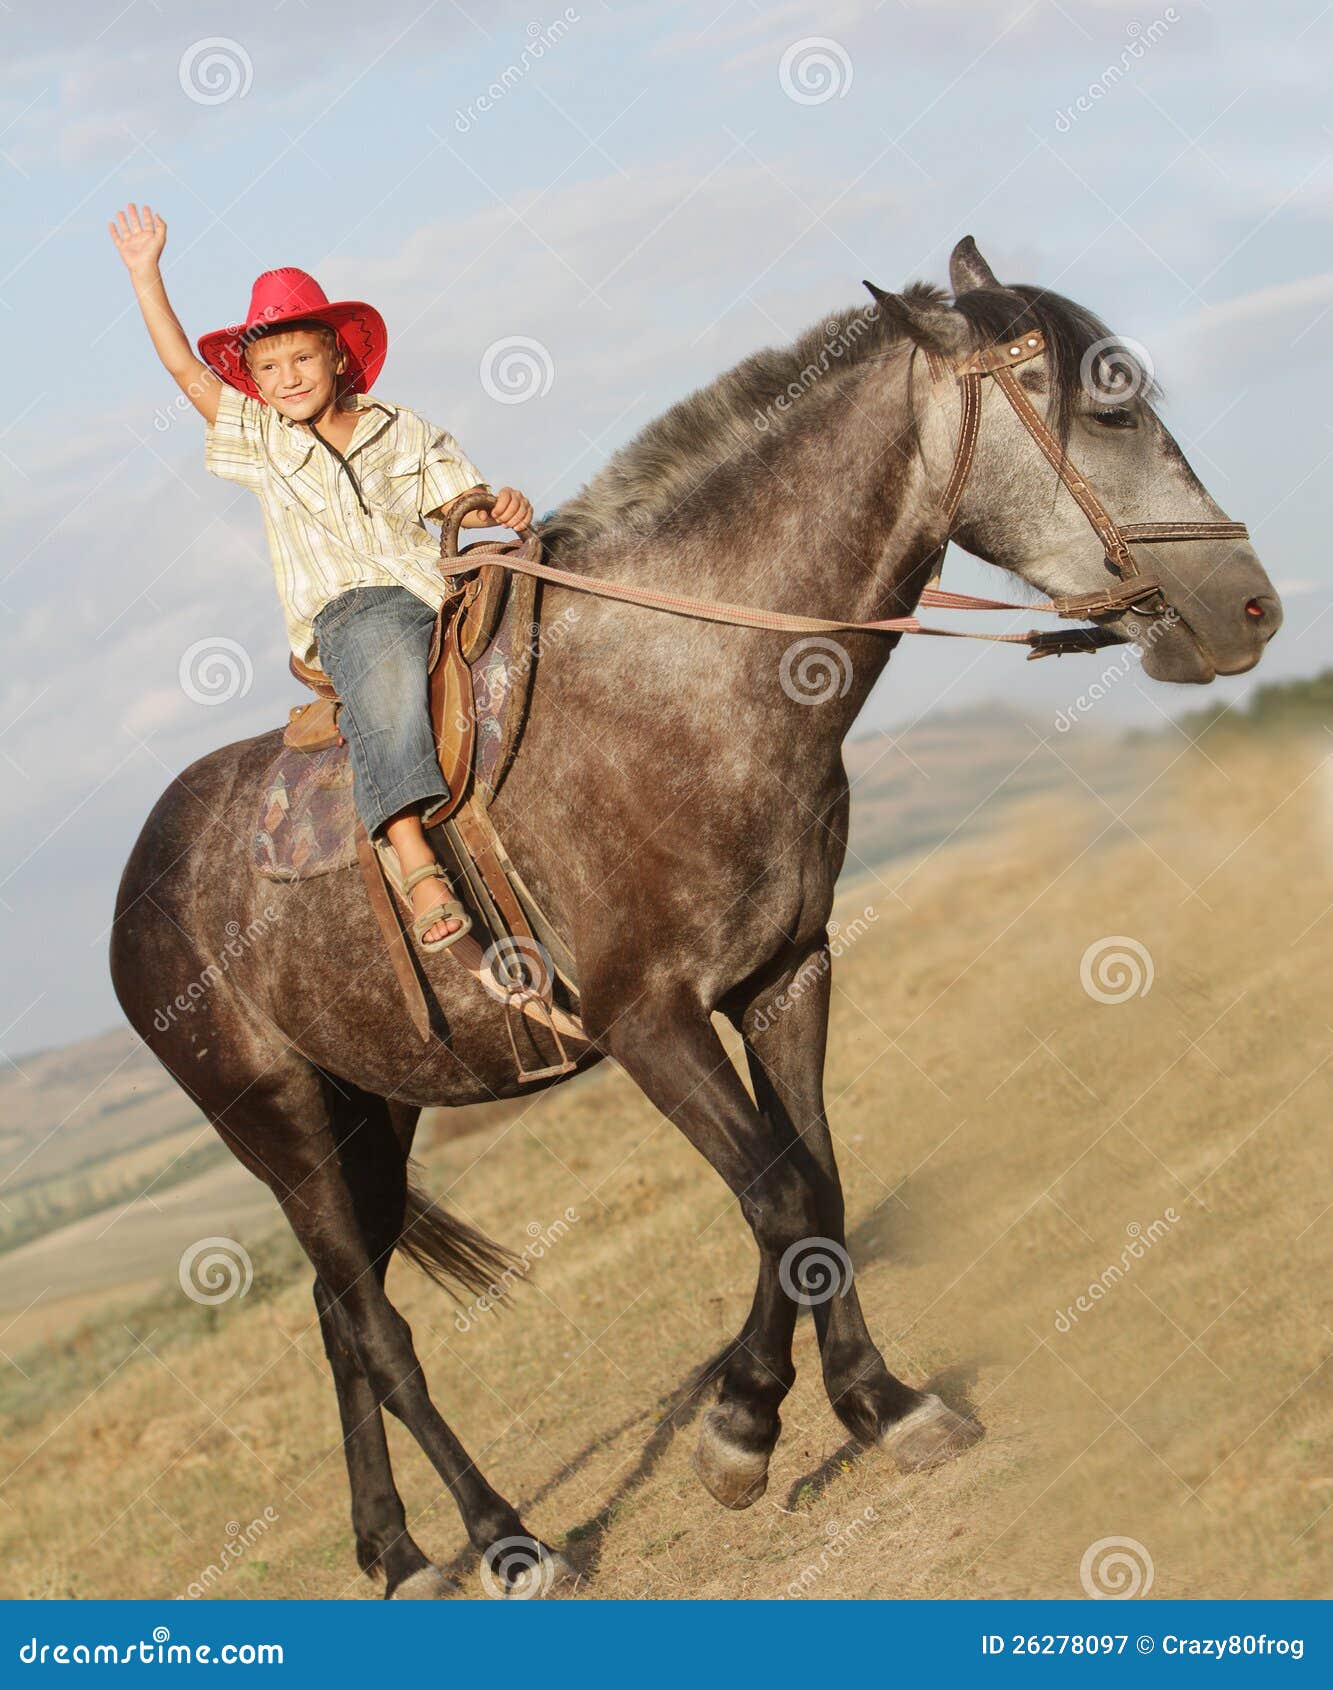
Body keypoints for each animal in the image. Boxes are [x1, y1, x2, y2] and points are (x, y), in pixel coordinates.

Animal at [109, 238, 1281, 1598]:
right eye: (1107, 409)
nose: (1249, 609)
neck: (685, 683)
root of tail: (138, 892)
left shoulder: (785, 976)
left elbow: (816, 1186)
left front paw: (877, 1403)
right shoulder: (648, 1022)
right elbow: (778, 1200)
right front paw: (742, 1428)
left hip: (375, 1117)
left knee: (334, 1316)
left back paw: (395, 1550)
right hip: (282, 1123)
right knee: (376, 1324)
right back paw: (504, 1539)